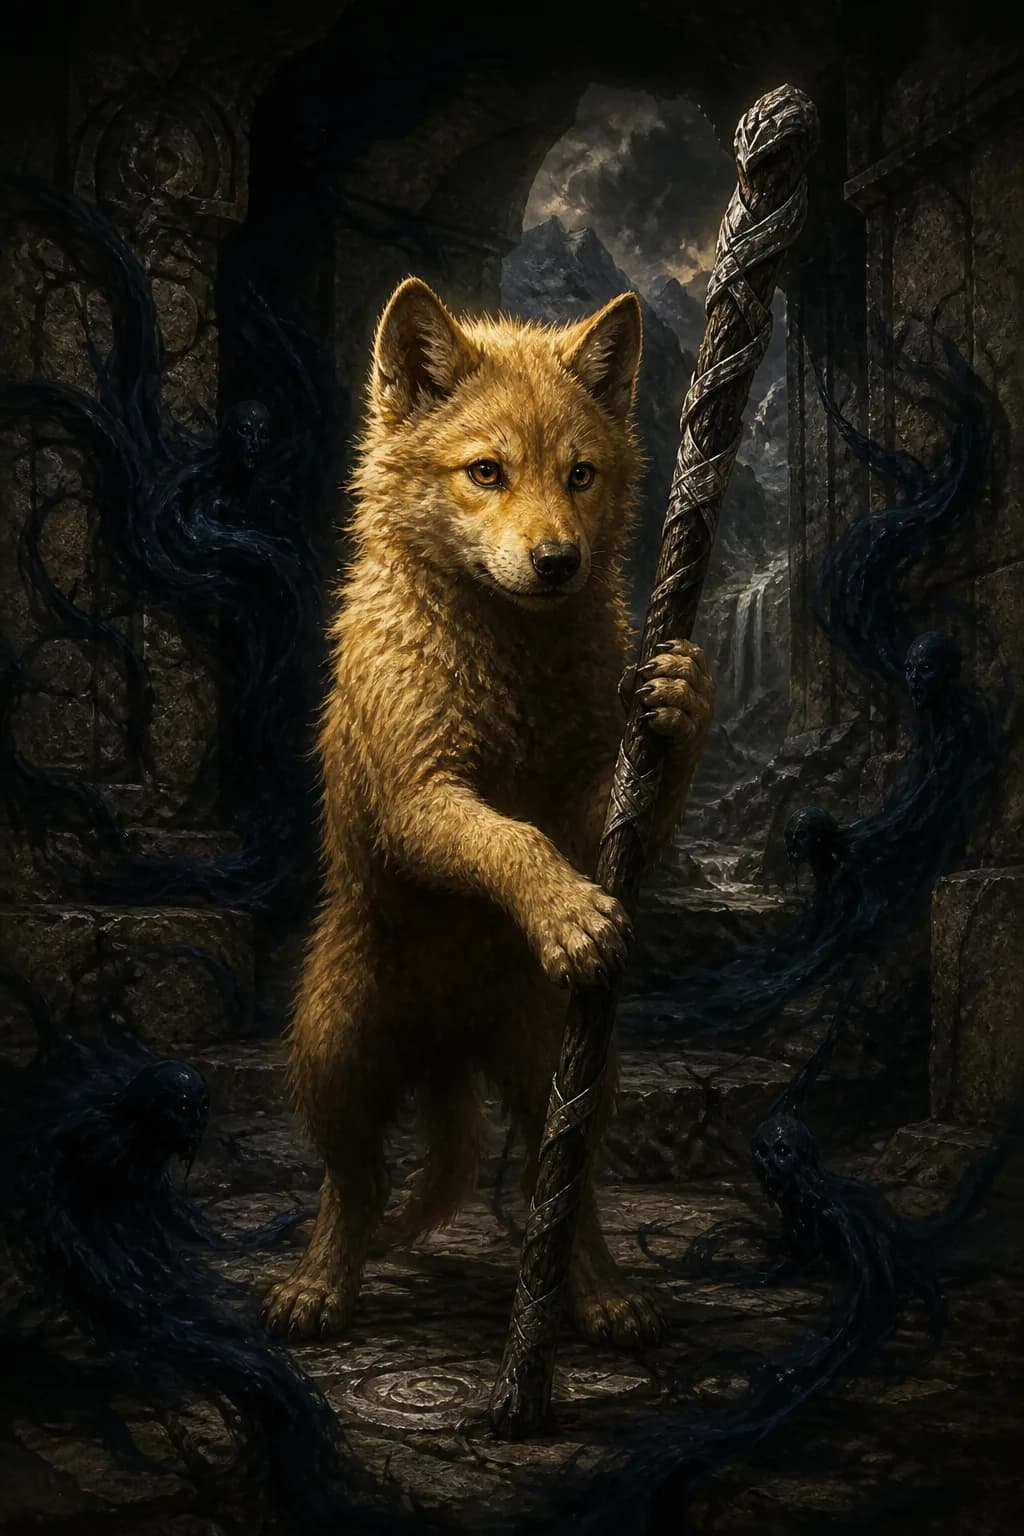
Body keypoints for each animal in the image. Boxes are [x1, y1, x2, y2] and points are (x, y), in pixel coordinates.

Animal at [263, 277, 715, 1345]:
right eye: (486, 472)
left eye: (581, 475)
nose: (559, 560)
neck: (508, 655)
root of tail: (449, 1046)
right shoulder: (415, 795)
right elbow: (504, 837)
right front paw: (571, 916)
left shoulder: (599, 803)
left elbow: (585, 817)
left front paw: (683, 697)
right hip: (334, 1057)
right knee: (351, 1183)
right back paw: (318, 1288)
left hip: (570, 1073)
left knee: (568, 1191)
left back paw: (604, 1296)